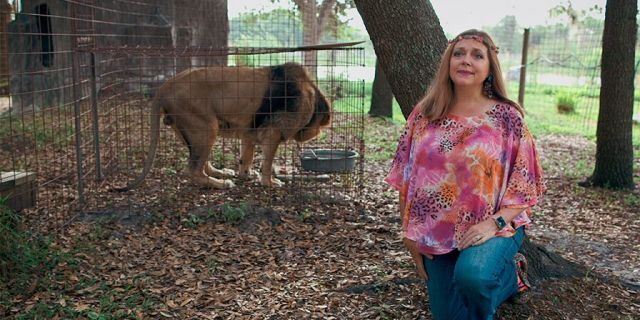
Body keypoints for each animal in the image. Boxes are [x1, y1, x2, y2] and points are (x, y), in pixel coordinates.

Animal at [115, 62, 332, 191]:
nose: (317, 132)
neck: (311, 96)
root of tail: (165, 86)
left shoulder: (250, 131)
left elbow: (246, 156)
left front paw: (246, 174)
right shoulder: (273, 133)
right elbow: (267, 162)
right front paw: (269, 182)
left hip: (192, 130)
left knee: (201, 163)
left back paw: (222, 173)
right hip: (207, 126)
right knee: (193, 170)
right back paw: (222, 183)